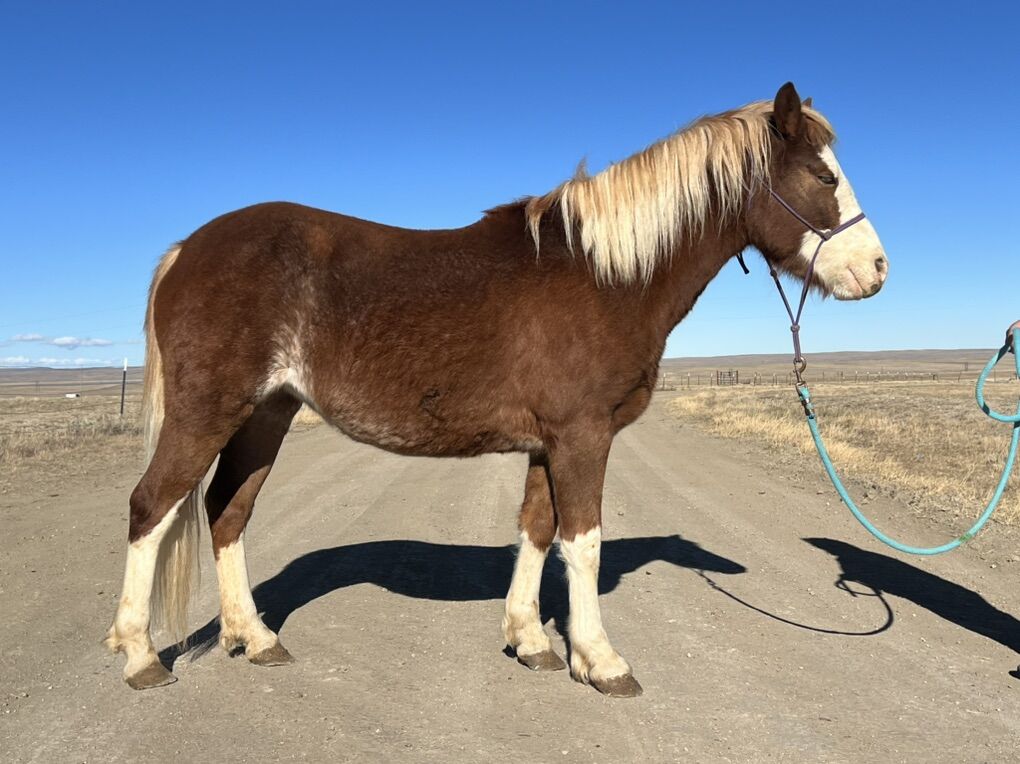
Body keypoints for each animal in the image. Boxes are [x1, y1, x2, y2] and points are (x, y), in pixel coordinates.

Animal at [105, 82, 888, 697]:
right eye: (823, 178)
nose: (876, 270)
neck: (604, 274)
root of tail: (187, 249)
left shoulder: (549, 441)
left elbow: (537, 531)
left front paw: (531, 641)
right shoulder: (582, 435)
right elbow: (584, 543)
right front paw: (600, 661)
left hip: (266, 414)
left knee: (226, 512)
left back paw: (256, 638)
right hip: (208, 412)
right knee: (152, 507)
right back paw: (140, 656)